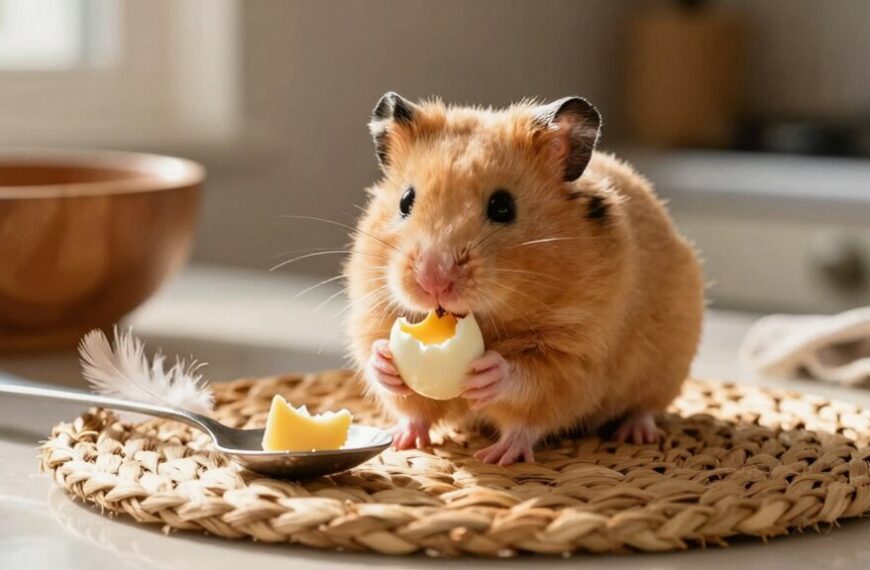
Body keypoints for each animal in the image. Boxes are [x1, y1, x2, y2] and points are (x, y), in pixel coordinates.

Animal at [345, 92, 704, 465]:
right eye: (405, 200)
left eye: (503, 207)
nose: (434, 281)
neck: (490, 318)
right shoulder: (372, 311)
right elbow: (402, 392)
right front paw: (386, 361)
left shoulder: (578, 354)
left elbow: (531, 387)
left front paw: (490, 378)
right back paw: (403, 441)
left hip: (667, 367)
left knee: (645, 407)